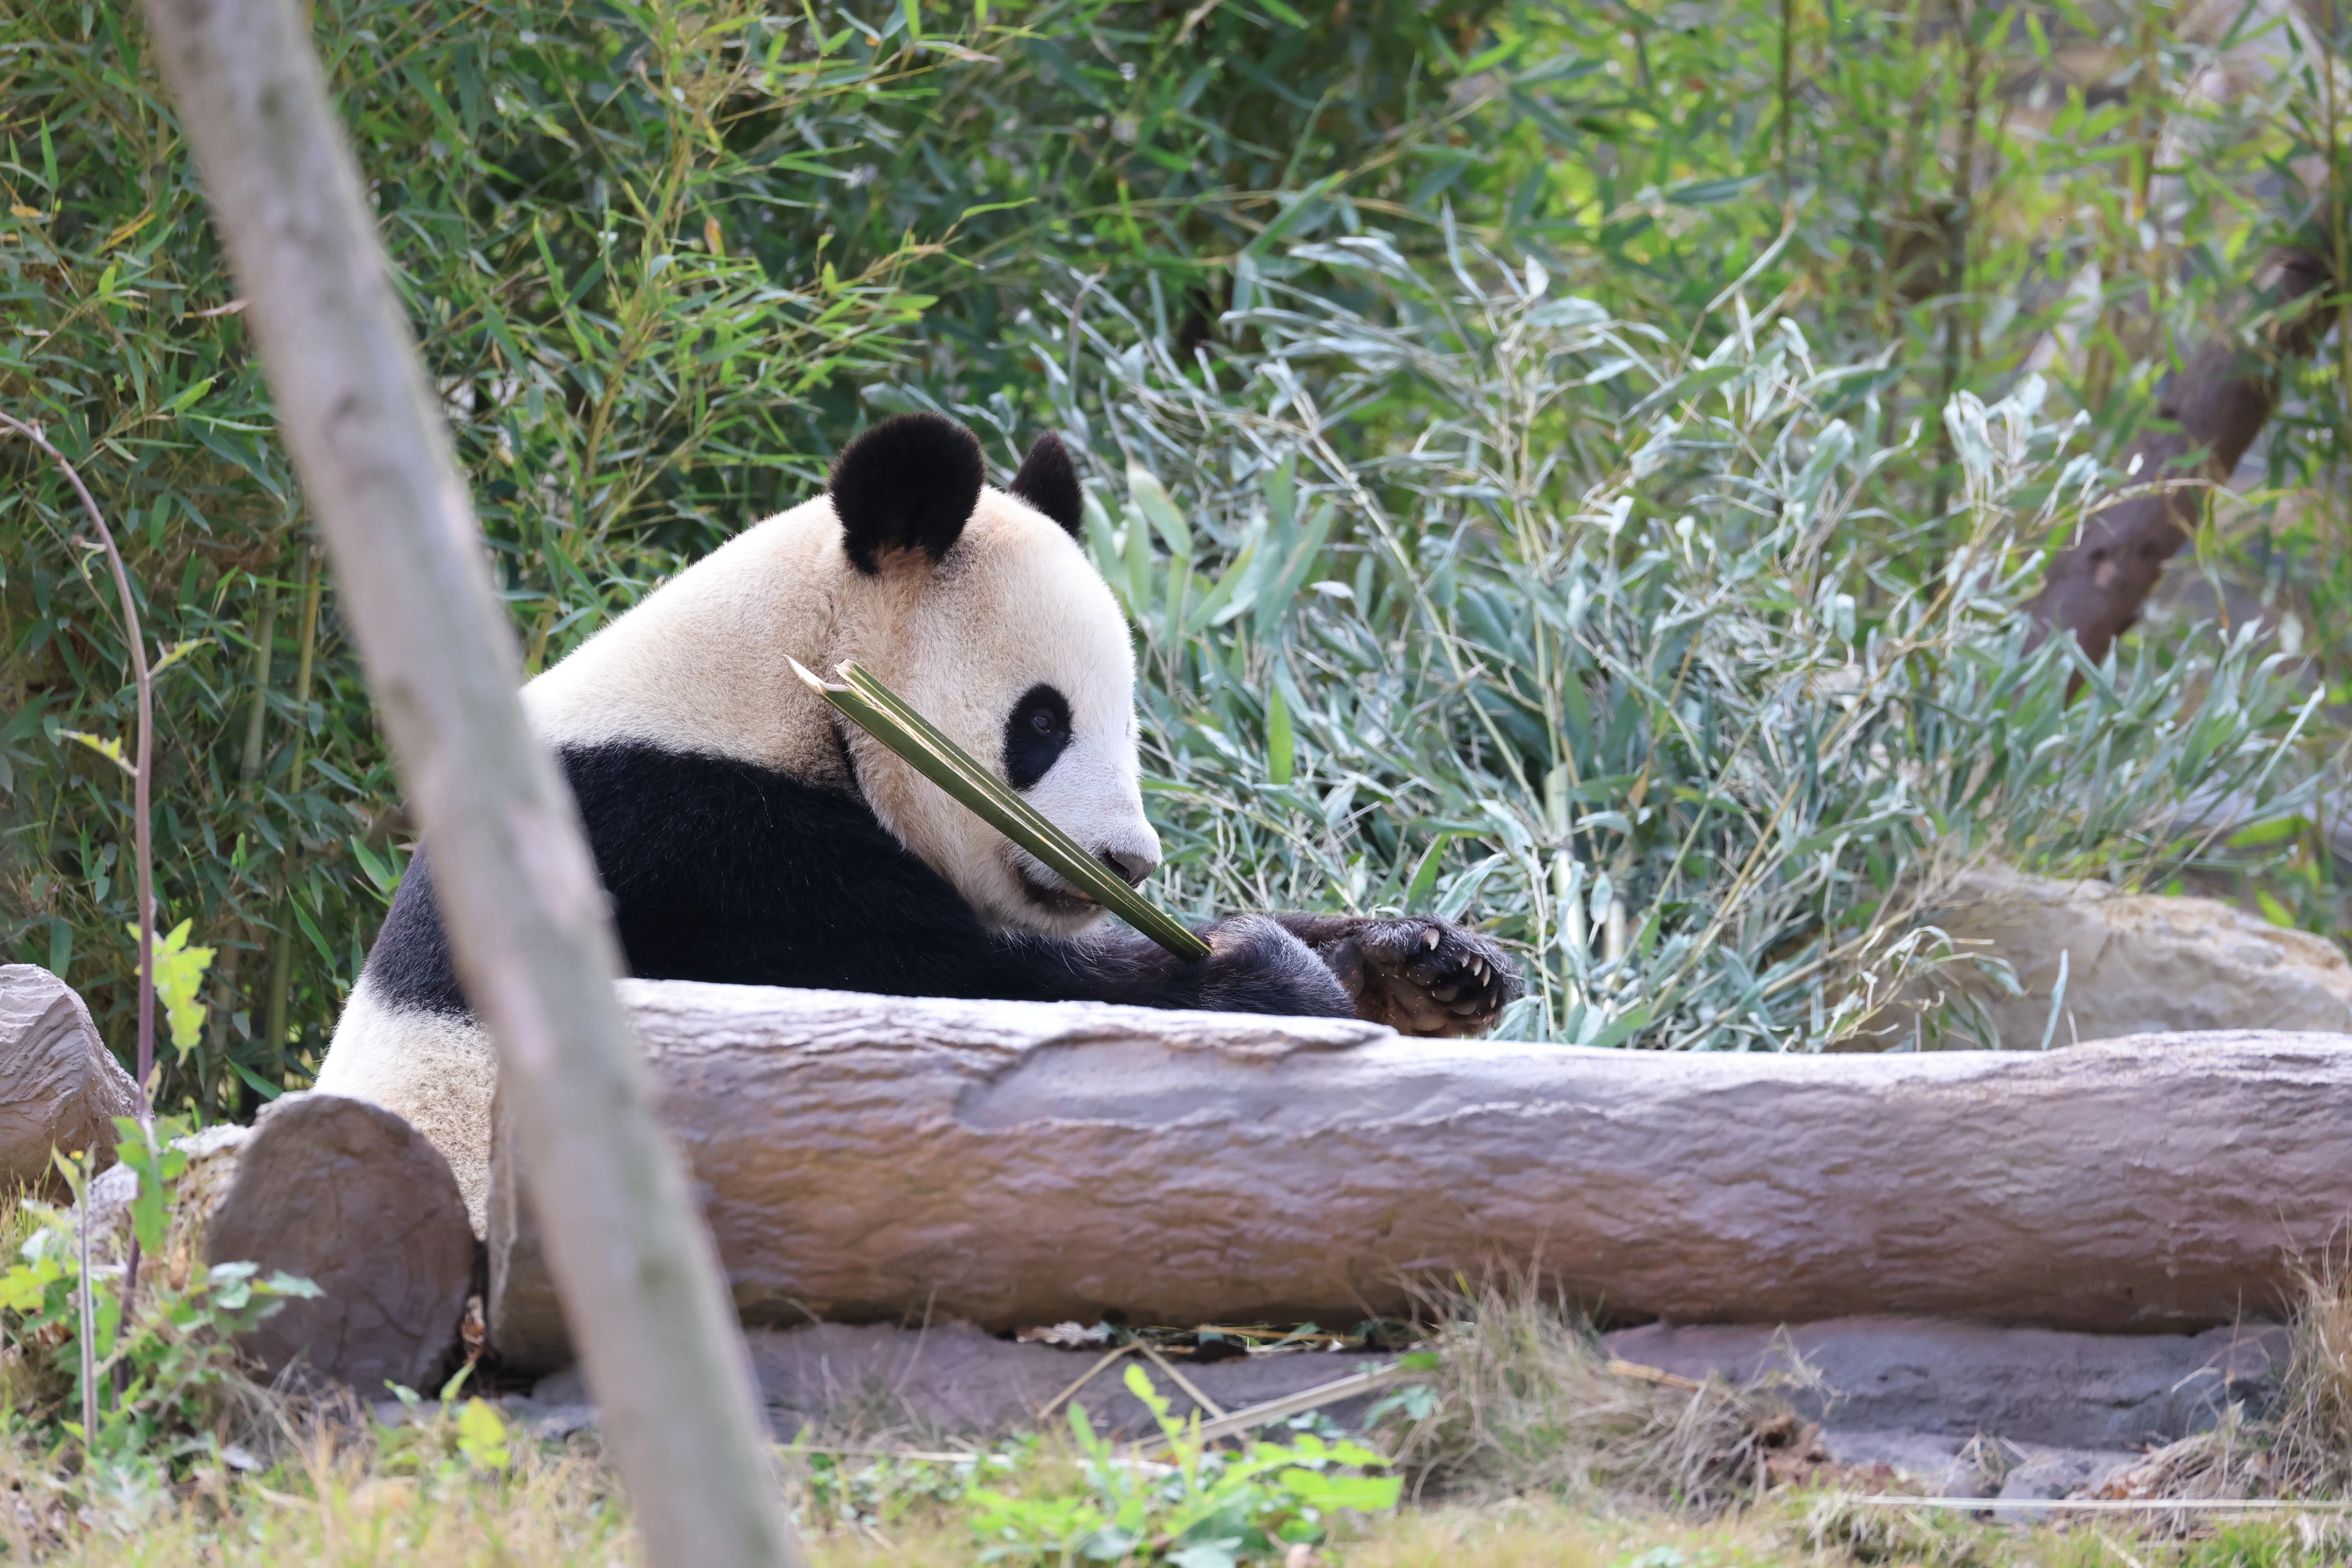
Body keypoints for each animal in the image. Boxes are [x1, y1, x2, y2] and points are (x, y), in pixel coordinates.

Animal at [316, 413, 1521, 1228]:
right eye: (1043, 722)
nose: (1126, 860)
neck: (784, 682)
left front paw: (1425, 960)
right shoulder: (690, 846)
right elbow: (947, 998)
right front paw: (1264, 976)